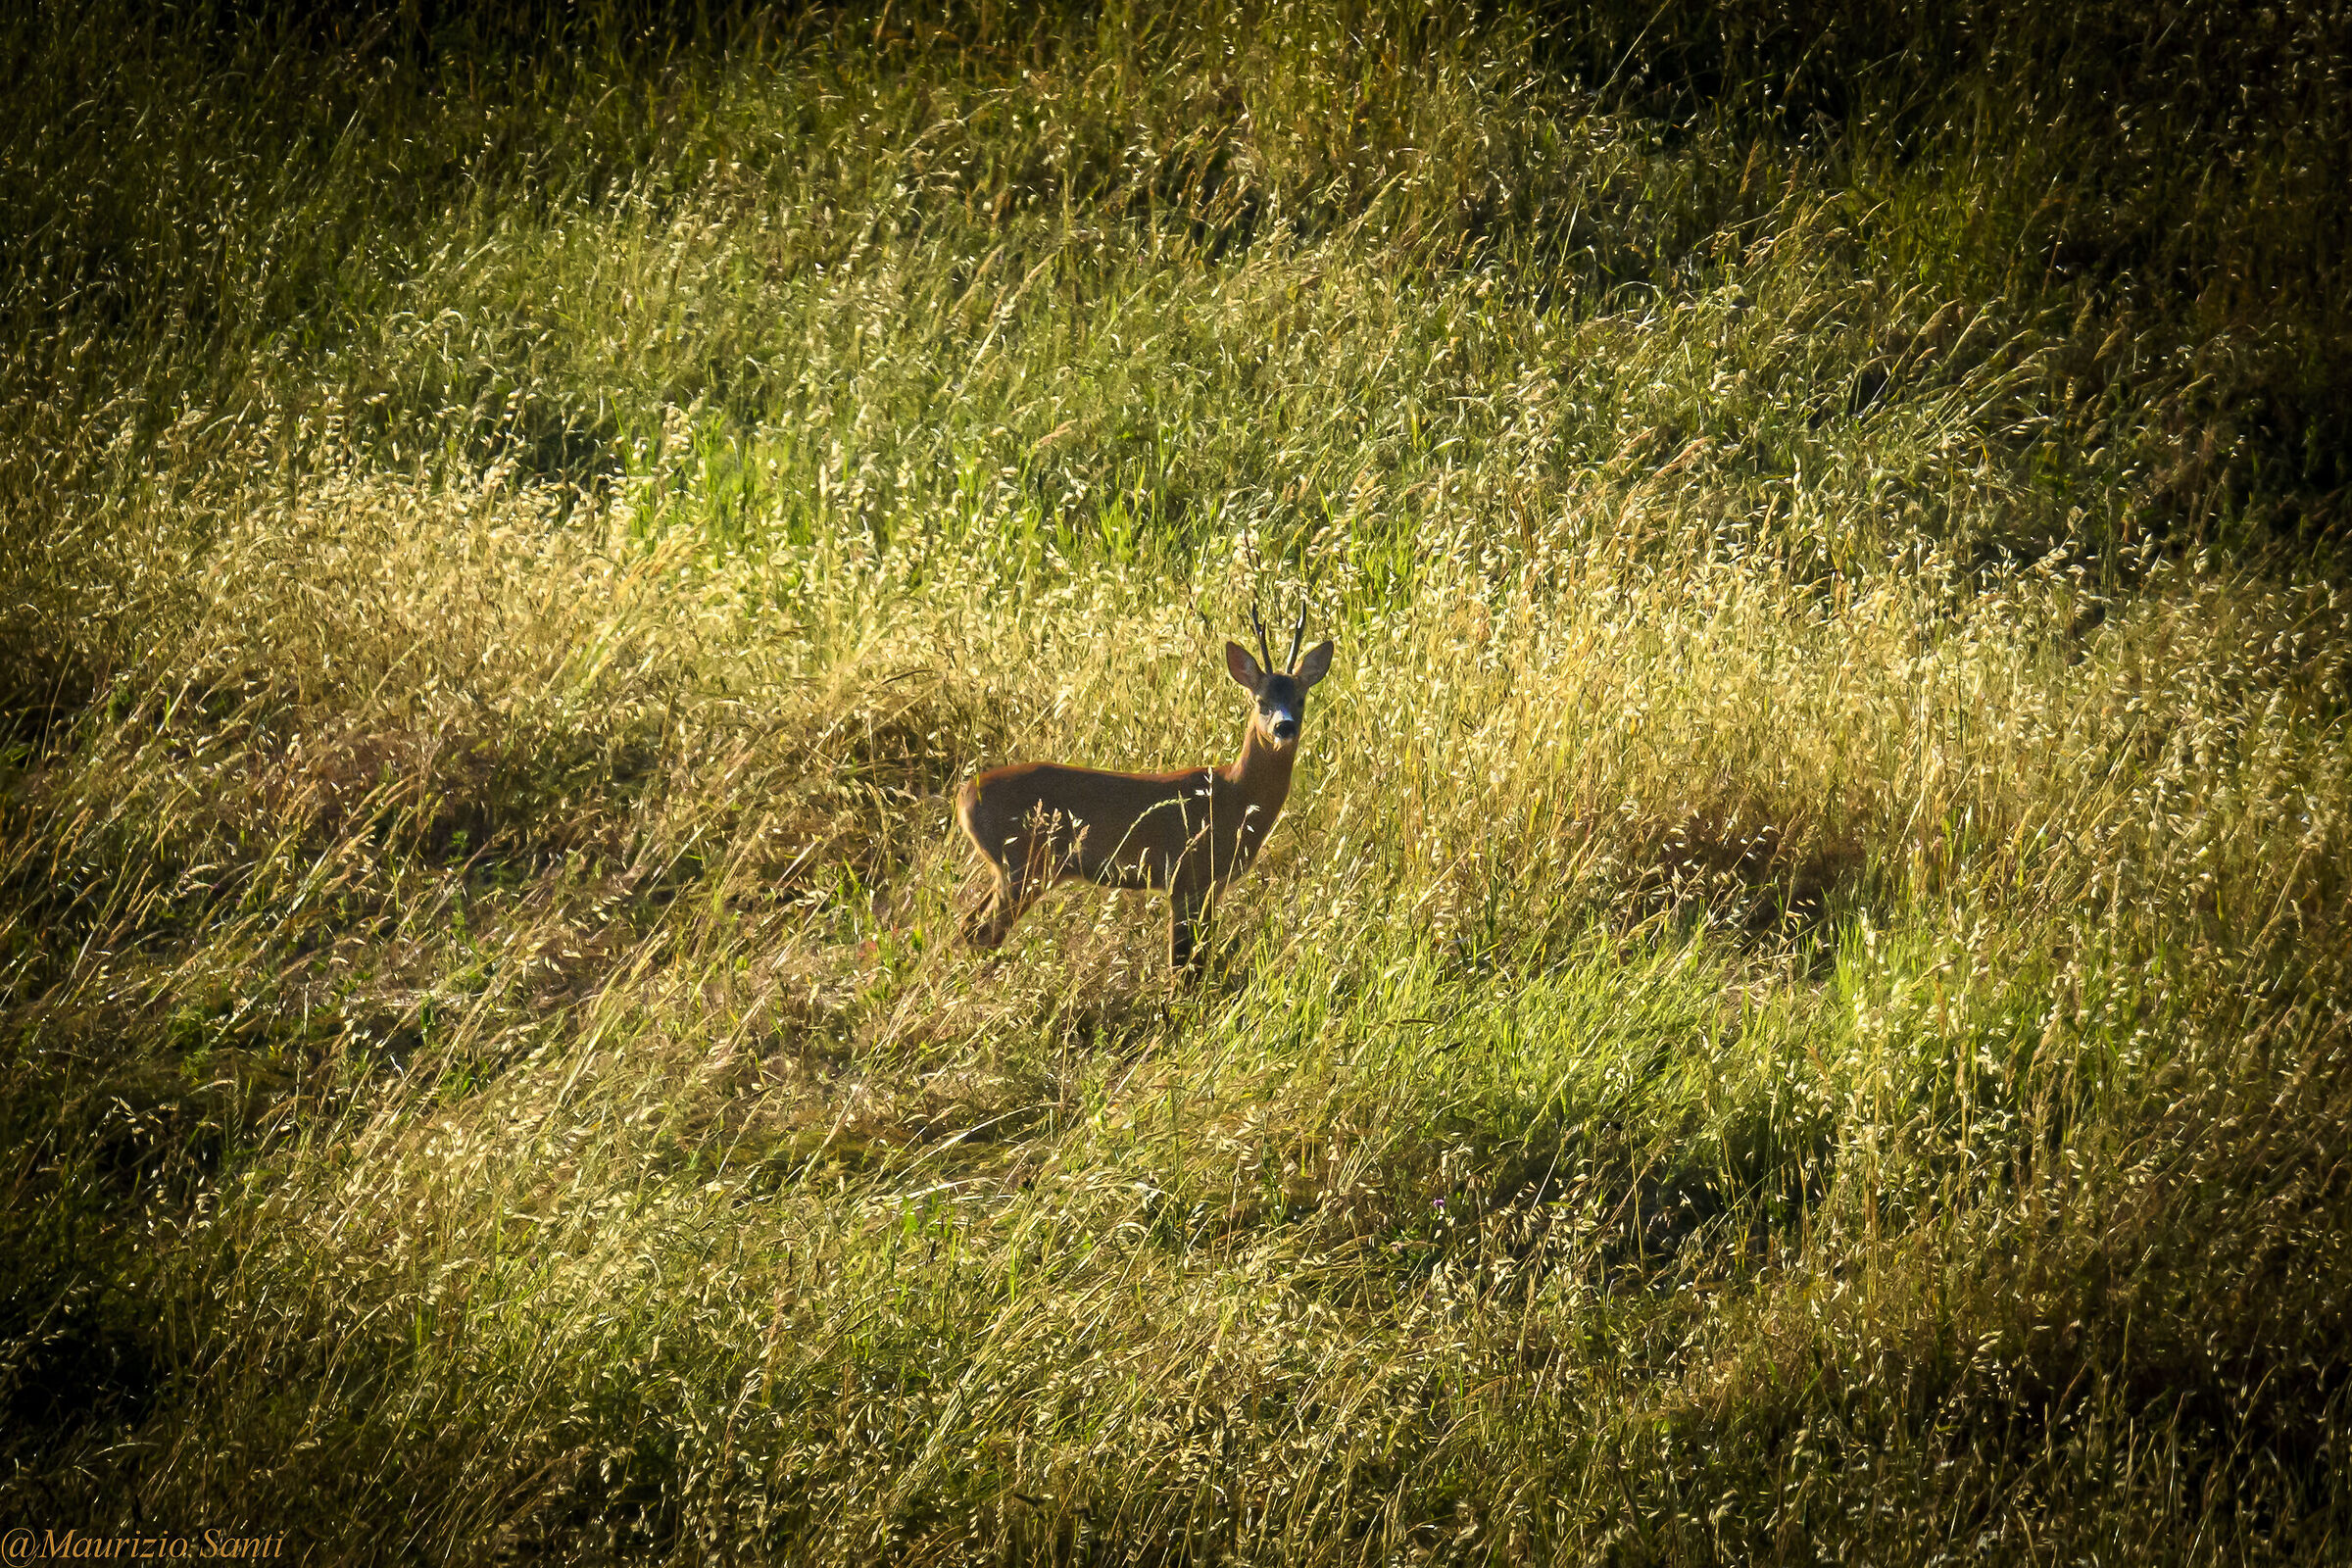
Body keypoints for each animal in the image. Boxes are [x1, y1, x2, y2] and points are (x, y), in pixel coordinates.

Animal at [955, 599, 1334, 972]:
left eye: (1301, 699)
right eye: (1261, 701)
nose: (1284, 727)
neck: (1234, 794)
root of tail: (965, 794)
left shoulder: (1211, 886)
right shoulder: (1187, 876)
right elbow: (1183, 966)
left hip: (1013, 869)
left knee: (970, 925)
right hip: (1023, 864)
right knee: (981, 930)